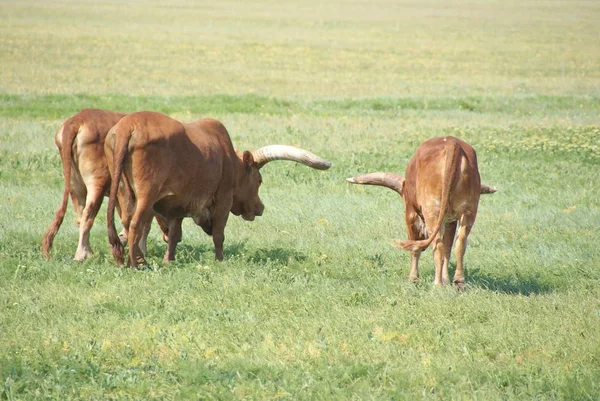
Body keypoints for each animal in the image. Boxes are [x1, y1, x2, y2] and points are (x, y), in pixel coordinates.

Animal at [106, 111, 332, 268]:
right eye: (259, 180)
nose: (260, 208)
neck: (227, 156)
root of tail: (128, 126)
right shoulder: (223, 200)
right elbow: (218, 234)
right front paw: (219, 260)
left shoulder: (177, 204)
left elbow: (174, 235)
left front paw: (168, 261)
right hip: (146, 195)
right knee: (135, 225)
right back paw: (137, 264)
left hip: (124, 193)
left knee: (126, 224)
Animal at [346, 137, 496, 288]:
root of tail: (452, 143)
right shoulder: (451, 220)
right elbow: (448, 247)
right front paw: (446, 280)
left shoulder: (411, 214)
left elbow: (415, 247)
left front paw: (413, 278)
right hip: (468, 211)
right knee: (459, 243)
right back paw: (459, 282)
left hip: (432, 211)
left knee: (437, 246)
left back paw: (437, 284)